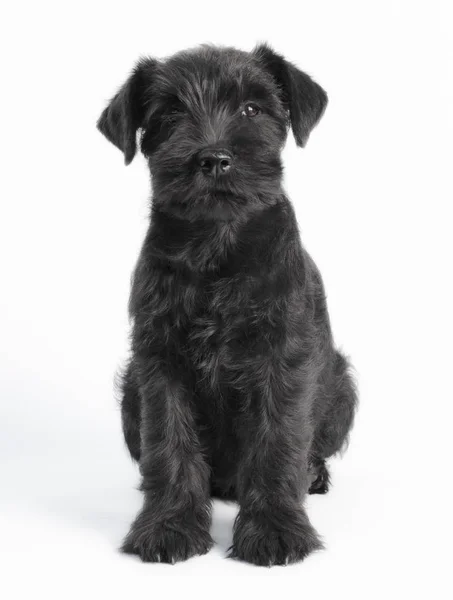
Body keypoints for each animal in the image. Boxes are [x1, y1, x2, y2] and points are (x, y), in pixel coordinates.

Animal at [98, 44, 356, 564]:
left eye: (251, 109)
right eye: (170, 114)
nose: (214, 159)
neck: (215, 245)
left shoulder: (281, 359)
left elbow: (278, 442)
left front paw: (275, 530)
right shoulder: (160, 362)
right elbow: (169, 443)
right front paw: (169, 525)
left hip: (341, 388)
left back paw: (312, 475)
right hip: (130, 391)